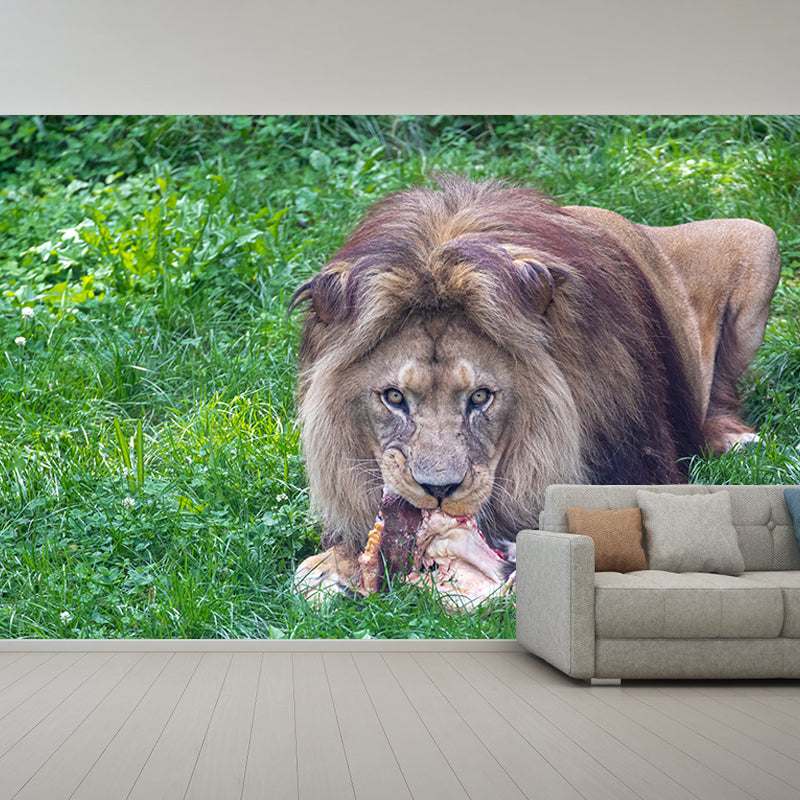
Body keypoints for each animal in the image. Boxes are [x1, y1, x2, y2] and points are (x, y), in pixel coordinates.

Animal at [289, 176, 781, 599]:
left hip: (760, 240)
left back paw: (736, 440)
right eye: (394, 397)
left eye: (480, 397)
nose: (439, 490)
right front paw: (329, 569)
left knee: (722, 393)